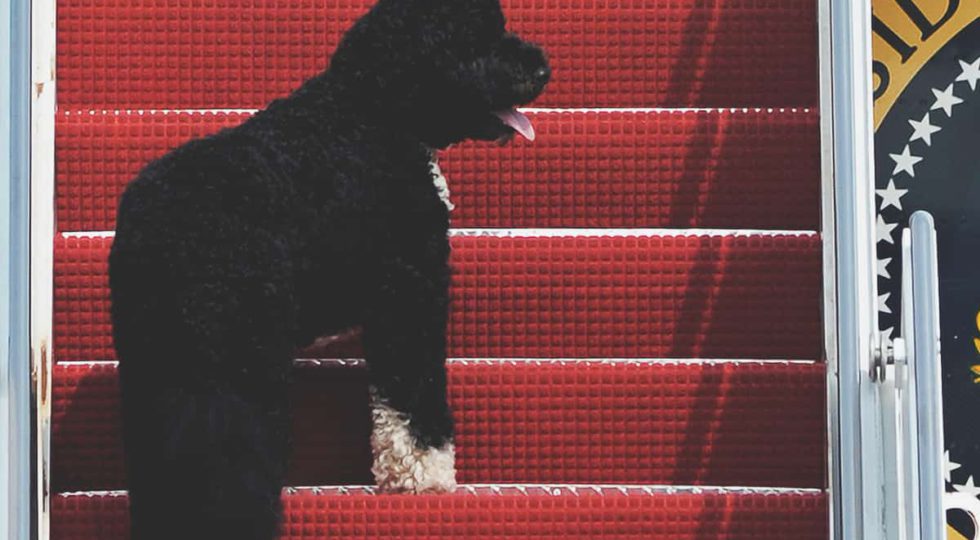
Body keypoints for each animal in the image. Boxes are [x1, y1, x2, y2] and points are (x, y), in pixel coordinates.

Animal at [108, 0, 552, 536]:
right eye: (479, 37)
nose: (542, 66)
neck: (374, 109)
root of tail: (159, 228)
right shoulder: (410, 291)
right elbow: (413, 398)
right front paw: (425, 476)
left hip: (158, 359)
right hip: (235, 360)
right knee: (226, 466)